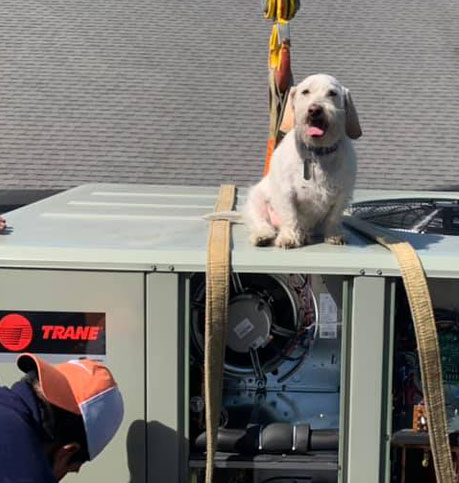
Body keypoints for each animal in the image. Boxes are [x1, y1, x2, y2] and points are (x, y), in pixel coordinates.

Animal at [244, 75, 362, 250]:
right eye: (305, 91)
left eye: (332, 93)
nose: (314, 110)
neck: (317, 153)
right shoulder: (286, 192)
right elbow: (290, 216)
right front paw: (289, 237)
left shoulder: (343, 193)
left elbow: (333, 217)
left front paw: (333, 235)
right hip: (257, 201)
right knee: (262, 222)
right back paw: (263, 235)